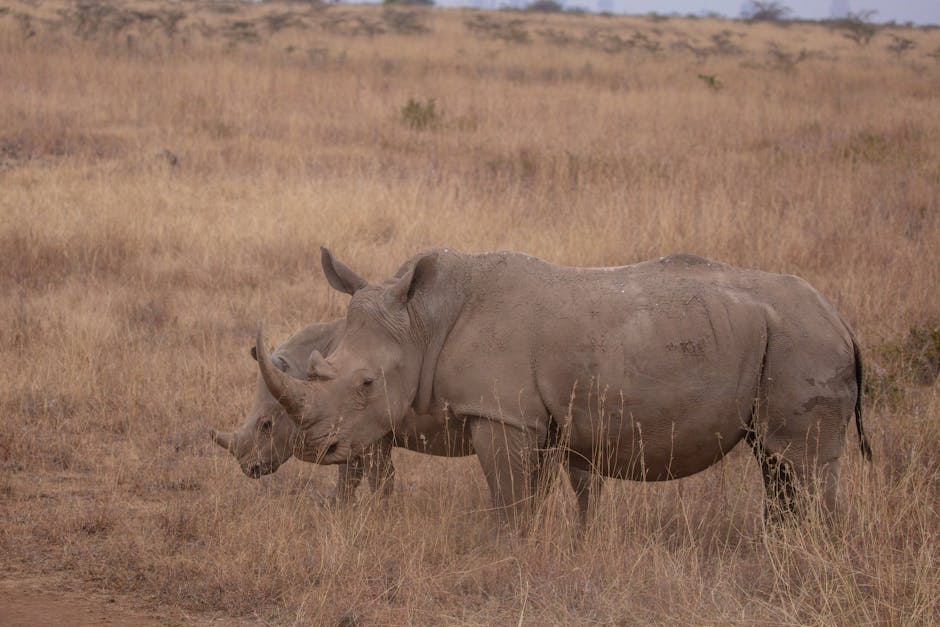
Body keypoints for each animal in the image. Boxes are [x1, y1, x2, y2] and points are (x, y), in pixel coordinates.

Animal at [212, 317, 602, 518]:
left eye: (267, 425)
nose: (248, 469)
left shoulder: (366, 427)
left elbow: (373, 476)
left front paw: (376, 516)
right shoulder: (347, 427)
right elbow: (350, 473)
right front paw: (339, 509)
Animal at [256, 248, 872, 524]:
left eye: (365, 382)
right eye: (321, 367)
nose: (320, 447)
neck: (423, 321)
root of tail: (844, 322)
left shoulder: (502, 415)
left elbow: (509, 498)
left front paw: (505, 551)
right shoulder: (537, 418)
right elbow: (532, 495)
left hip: (804, 343)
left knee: (803, 462)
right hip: (788, 342)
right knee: (777, 461)